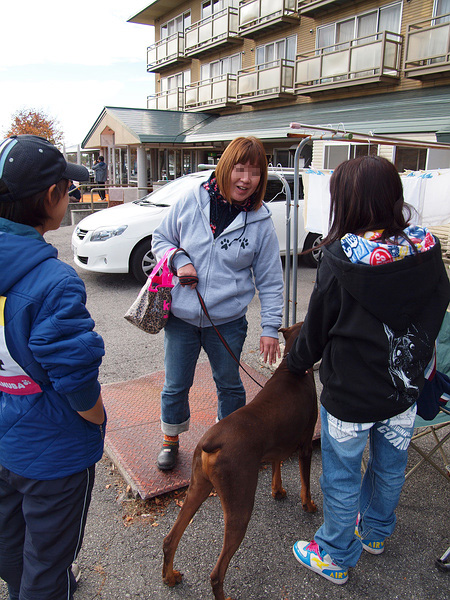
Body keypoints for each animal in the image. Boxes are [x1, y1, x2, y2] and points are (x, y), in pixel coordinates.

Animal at [162, 324, 316, 600]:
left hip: (198, 487)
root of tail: (211, 442)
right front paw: (308, 505)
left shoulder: (277, 447)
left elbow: (276, 466)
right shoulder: (306, 445)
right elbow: (305, 484)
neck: (292, 367)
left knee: (170, 540)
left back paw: (170, 576)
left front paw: (278, 491)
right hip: (240, 504)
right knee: (216, 573)